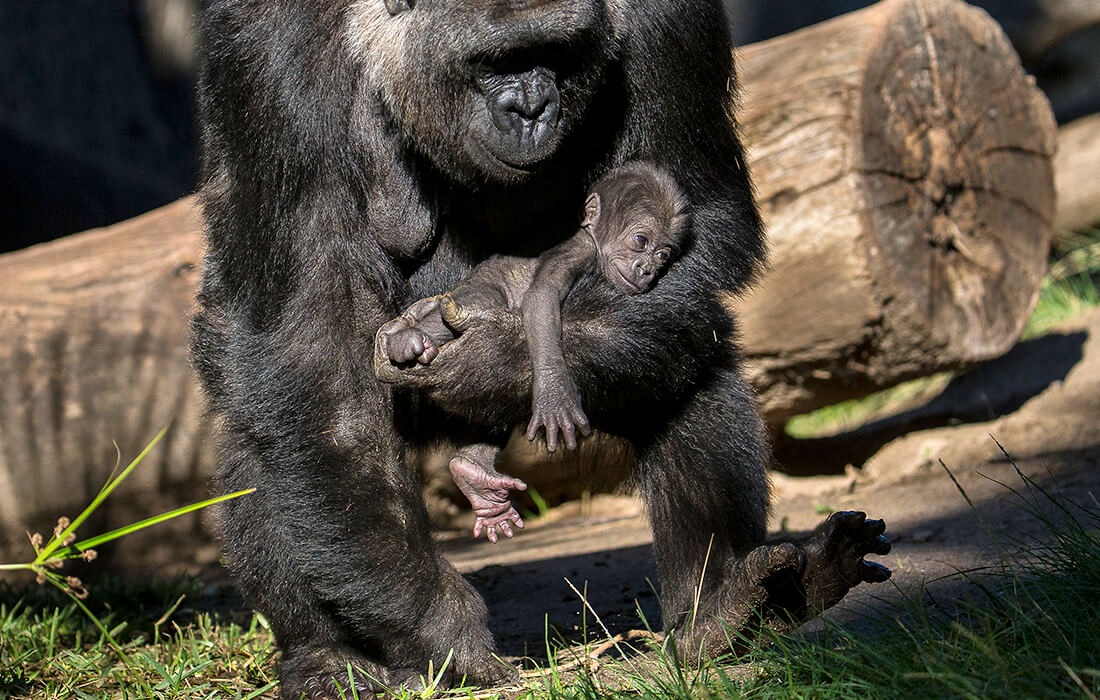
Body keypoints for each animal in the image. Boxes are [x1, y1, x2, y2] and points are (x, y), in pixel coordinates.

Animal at [378, 162, 686, 541]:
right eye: (640, 241)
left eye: (663, 255)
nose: (648, 270)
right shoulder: (577, 252)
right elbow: (541, 296)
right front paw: (555, 392)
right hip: (475, 291)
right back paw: (408, 339)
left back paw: (474, 474)